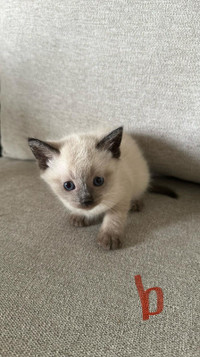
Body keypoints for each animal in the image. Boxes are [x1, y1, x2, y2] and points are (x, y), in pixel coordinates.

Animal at [27, 128, 177, 250]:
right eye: (68, 186)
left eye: (98, 181)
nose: (86, 201)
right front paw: (80, 216)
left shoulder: (122, 196)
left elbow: (113, 218)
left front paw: (109, 238)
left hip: (141, 178)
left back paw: (136, 204)